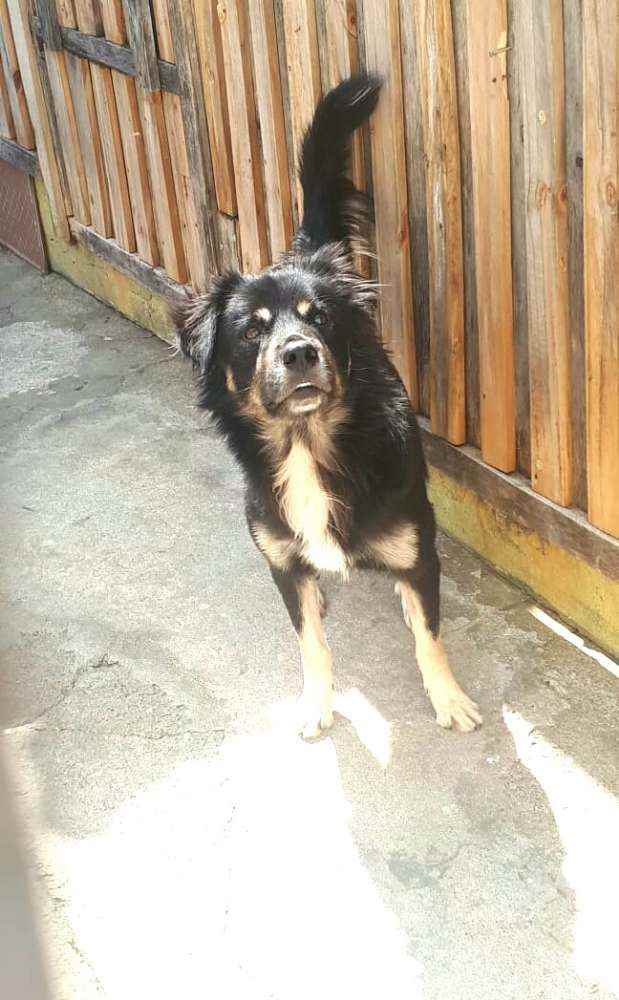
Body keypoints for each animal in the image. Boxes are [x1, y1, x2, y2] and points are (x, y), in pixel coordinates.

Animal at [174, 74, 481, 739]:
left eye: (319, 319)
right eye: (251, 331)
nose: (298, 352)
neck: (308, 444)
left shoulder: (416, 548)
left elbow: (430, 633)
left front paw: (447, 697)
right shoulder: (283, 562)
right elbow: (310, 641)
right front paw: (316, 702)